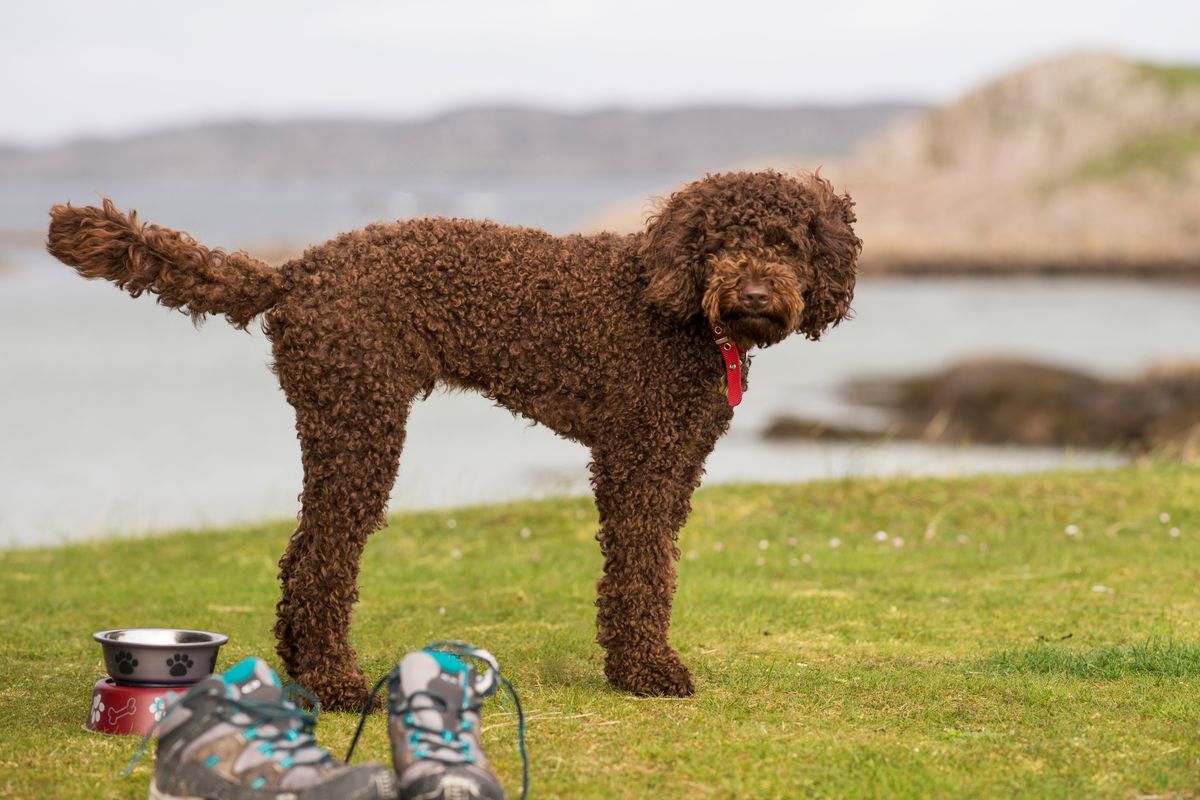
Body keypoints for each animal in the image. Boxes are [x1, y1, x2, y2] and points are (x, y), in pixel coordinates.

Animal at [44, 172, 854, 710]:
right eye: (721, 243)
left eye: (786, 243)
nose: (754, 295)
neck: (679, 306)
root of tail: (295, 271)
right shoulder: (638, 462)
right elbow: (642, 572)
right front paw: (646, 672)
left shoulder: (675, 461)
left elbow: (652, 571)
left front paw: (639, 663)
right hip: (361, 422)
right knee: (325, 562)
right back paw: (339, 683)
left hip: (339, 426)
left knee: (301, 555)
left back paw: (304, 668)